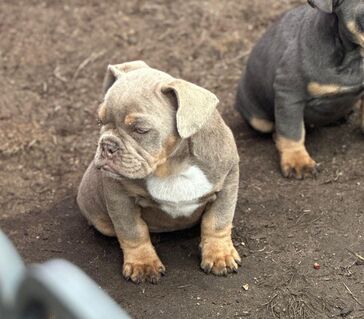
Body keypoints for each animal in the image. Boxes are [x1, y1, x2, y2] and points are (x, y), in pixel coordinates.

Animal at [77, 61, 242, 284]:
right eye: (99, 121)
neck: (171, 167)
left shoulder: (228, 181)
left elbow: (218, 220)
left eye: (141, 130)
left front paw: (219, 255)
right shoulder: (118, 195)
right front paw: (143, 263)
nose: (107, 145)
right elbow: (132, 230)